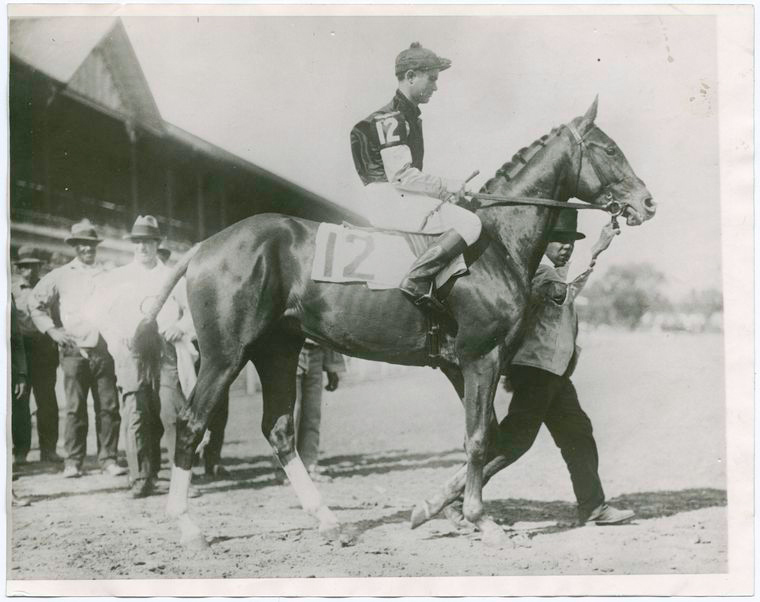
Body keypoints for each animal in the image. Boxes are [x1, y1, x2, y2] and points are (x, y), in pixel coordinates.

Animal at [153, 96, 652, 548]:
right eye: (609, 149)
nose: (647, 202)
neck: (496, 244)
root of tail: (203, 246)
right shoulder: (481, 357)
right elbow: (478, 438)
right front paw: (479, 519)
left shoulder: (461, 364)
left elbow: (490, 435)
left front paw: (437, 509)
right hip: (226, 353)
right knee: (190, 422)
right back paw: (187, 526)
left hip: (276, 349)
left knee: (277, 430)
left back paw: (328, 521)